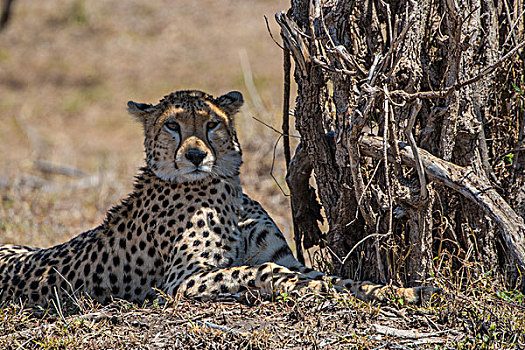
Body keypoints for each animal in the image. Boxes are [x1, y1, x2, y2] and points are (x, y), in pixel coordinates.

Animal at [0, 89, 438, 306]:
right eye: (172, 125)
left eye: (212, 124)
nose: (196, 155)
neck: (225, 188)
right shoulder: (181, 282)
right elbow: (265, 272)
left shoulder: (285, 257)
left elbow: (335, 277)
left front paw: (402, 291)